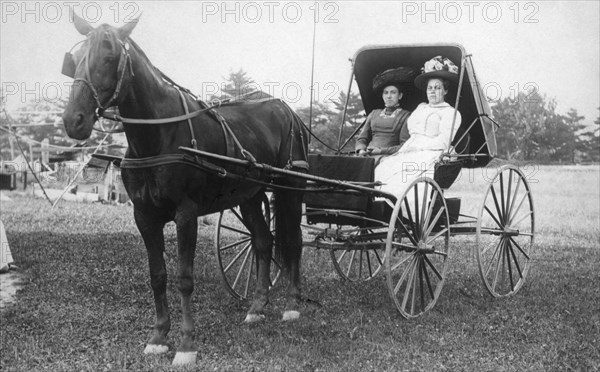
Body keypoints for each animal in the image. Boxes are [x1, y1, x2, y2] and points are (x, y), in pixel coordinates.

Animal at [60, 13, 308, 364]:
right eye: (76, 59)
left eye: (108, 57)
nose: (74, 121)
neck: (160, 135)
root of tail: (286, 110)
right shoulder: (144, 216)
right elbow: (158, 276)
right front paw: (158, 337)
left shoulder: (186, 214)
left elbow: (185, 278)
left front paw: (187, 344)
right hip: (249, 195)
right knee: (263, 240)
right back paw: (257, 308)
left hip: (291, 187)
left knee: (292, 242)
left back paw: (292, 305)